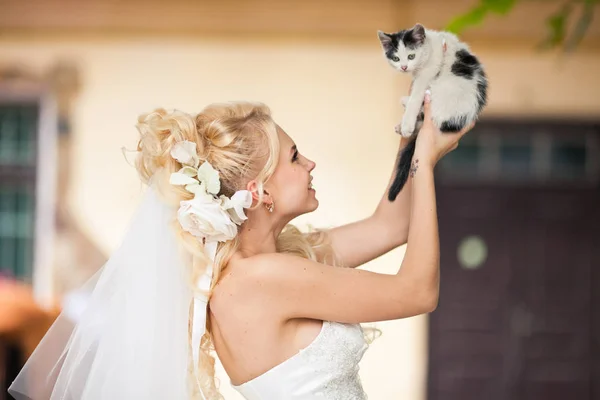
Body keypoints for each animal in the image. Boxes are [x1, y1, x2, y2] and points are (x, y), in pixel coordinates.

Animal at [380, 22, 488, 200]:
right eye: (396, 58)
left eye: (411, 56)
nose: (404, 67)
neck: (429, 47)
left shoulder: (429, 71)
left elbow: (416, 96)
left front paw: (407, 124)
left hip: (440, 91)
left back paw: (405, 107)